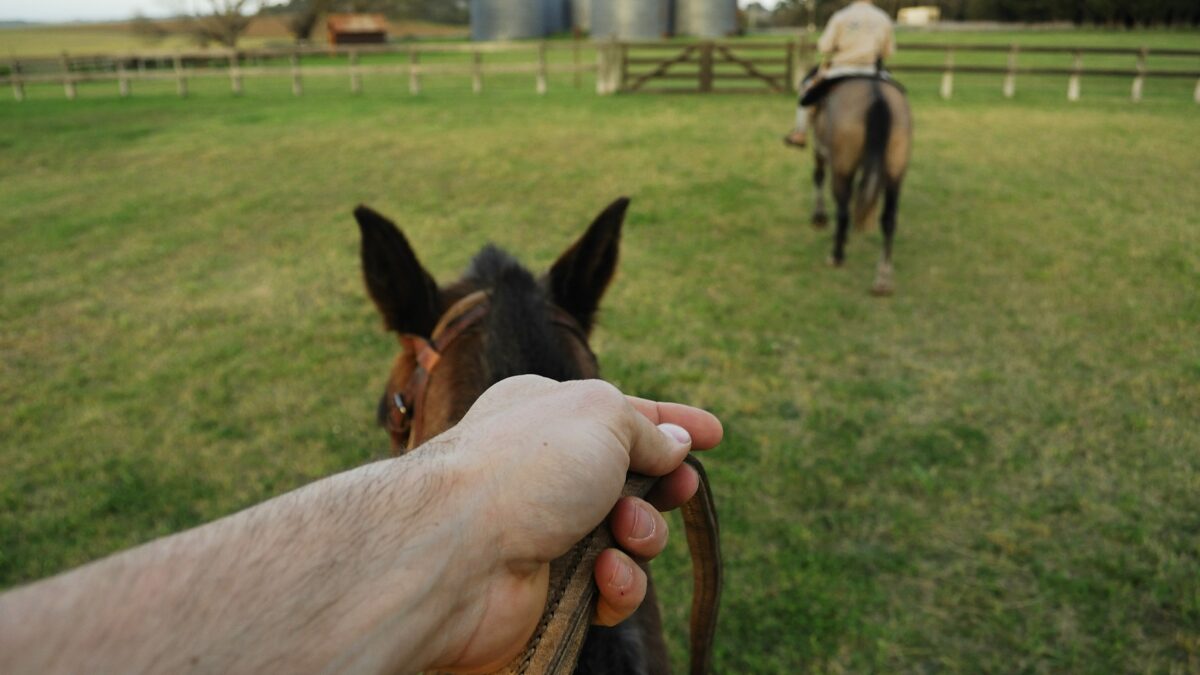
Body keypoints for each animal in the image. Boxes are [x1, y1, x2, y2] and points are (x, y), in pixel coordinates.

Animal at [809, 77, 912, 295]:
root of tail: (877, 94)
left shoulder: (820, 151)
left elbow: (819, 177)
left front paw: (819, 217)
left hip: (842, 167)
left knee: (843, 210)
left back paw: (837, 255)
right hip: (895, 170)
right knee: (889, 219)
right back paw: (883, 279)